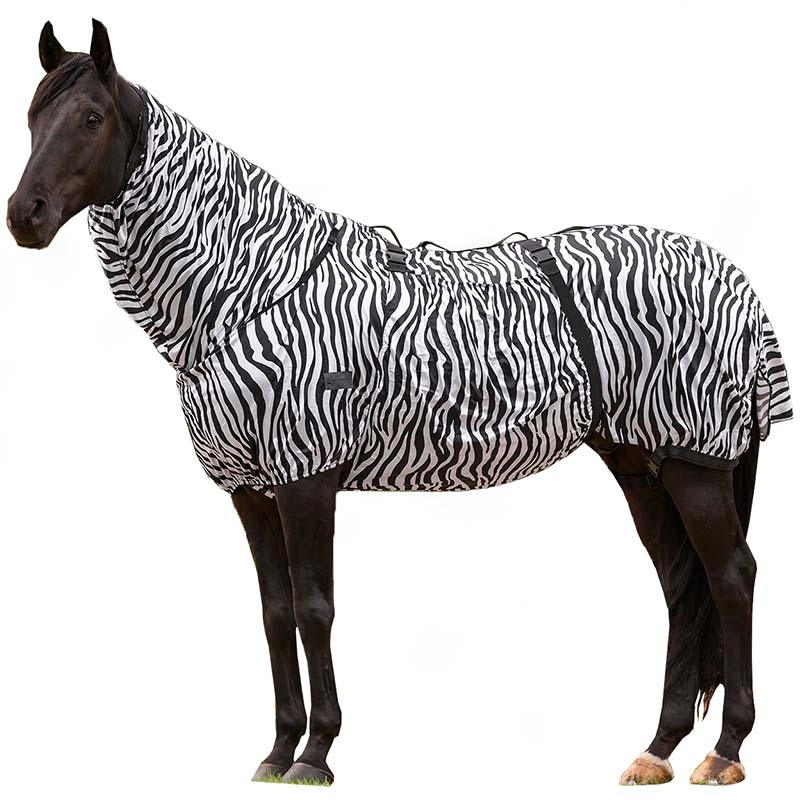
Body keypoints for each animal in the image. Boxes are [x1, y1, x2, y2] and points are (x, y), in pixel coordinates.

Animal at [7, 20, 792, 787]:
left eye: (92, 117)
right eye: (32, 116)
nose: (24, 215)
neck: (249, 288)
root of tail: (734, 278)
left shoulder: (307, 478)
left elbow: (315, 608)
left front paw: (317, 753)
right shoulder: (249, 489)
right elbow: (275, 612)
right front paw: (277, 749)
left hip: (694, 463)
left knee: (731, 578)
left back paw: (725, 750)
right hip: (641, 464)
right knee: (682, 584)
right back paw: (657, 748)